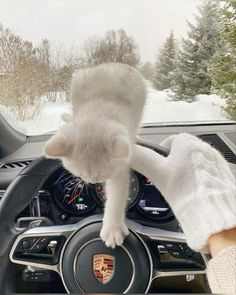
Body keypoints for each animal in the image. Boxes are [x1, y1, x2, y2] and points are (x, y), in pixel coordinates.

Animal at [43, 63, 147, 249]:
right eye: (80, 174)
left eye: (100, 175)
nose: (92, 182)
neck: (98, 111)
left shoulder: (120, 165)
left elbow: (117, 195)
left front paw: (112, 227)